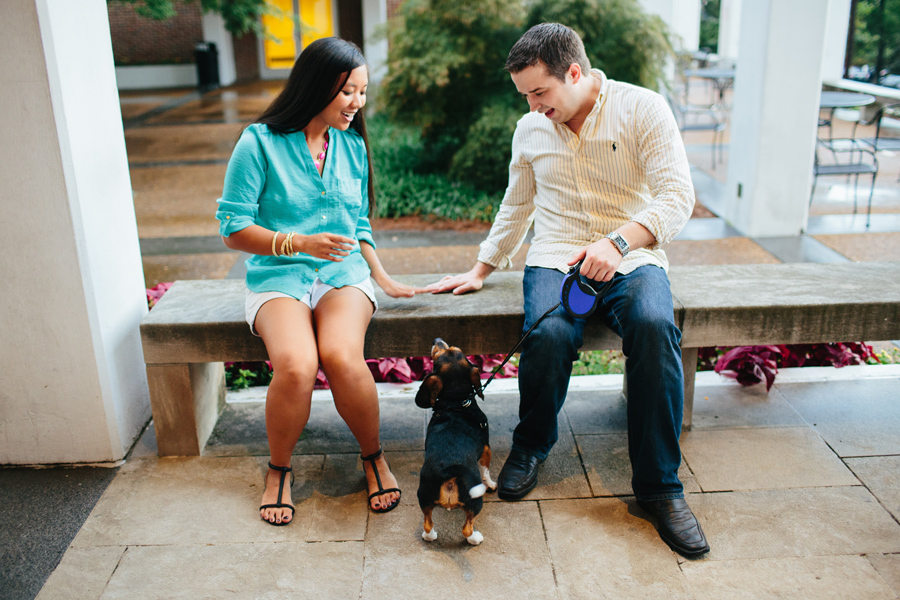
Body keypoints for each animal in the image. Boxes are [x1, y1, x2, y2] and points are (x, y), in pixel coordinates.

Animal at [416, 338, 500, 544]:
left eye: (456, 349)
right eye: (438, 353)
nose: (437, 340)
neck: (456, 402)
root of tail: (449, 472)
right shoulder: (486, 450)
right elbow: (486, 472)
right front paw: (491, 484)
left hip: (424, 497)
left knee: (427, 524)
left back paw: (429, 536)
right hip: (475, 502)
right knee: (466, 529)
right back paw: (476, 538)